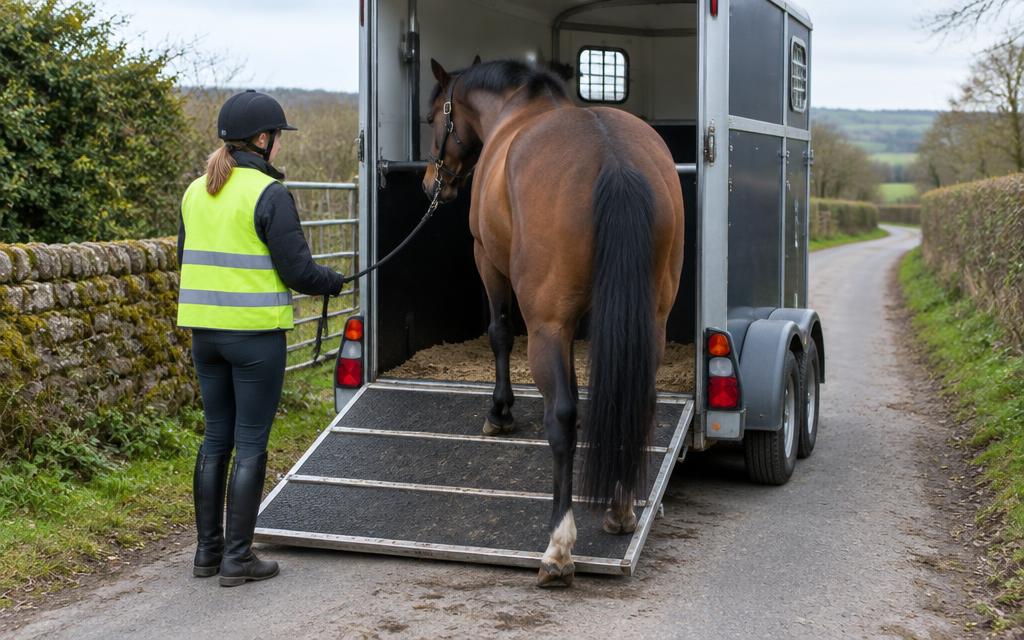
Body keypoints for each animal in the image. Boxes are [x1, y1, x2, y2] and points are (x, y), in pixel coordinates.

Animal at [423, 57, 685, 588]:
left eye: (434, 119)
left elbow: (500, 333)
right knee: (636, 402)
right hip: (650, 322)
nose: (429, 183)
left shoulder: (488, 261)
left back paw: (559, 548)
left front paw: (499, 413)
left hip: (545, 324)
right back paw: (620, 511)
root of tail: (614, 158)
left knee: (561, 418)